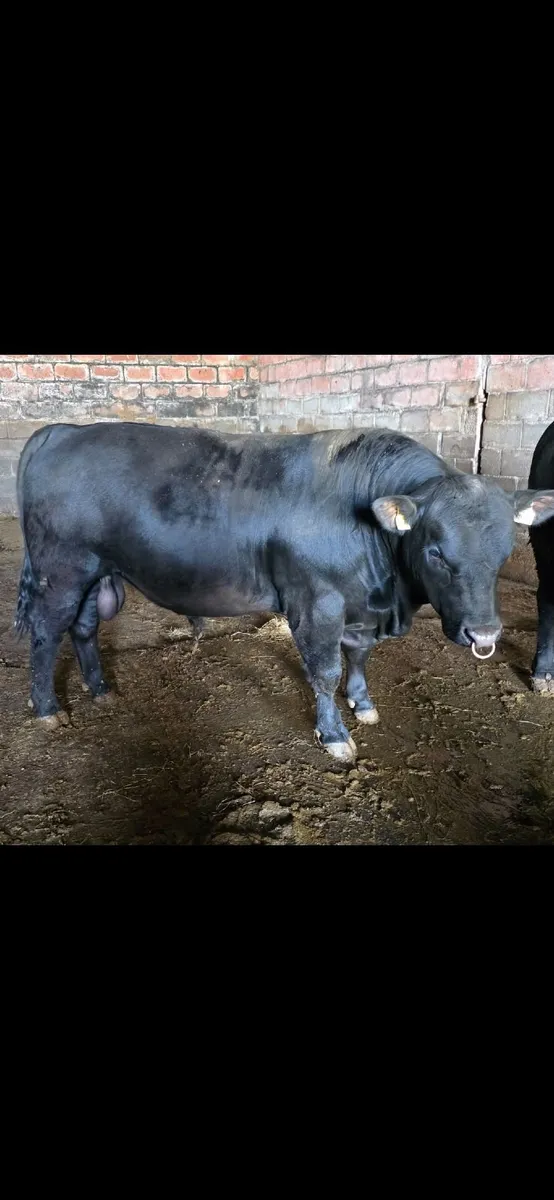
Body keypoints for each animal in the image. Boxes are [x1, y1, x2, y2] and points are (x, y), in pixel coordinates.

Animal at [14, 421, 554, 763]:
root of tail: (63, 430)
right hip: (60, 573)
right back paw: (47, 709)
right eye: (436, 551)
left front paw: (363, 704)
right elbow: (325, 671)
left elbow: (359, 657)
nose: (484, 634)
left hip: (95, 574)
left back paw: (101, 690)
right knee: (45, 634)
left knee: (83, 629)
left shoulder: (359, 606)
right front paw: (335, 734)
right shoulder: (318, 603)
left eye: (506, 549)